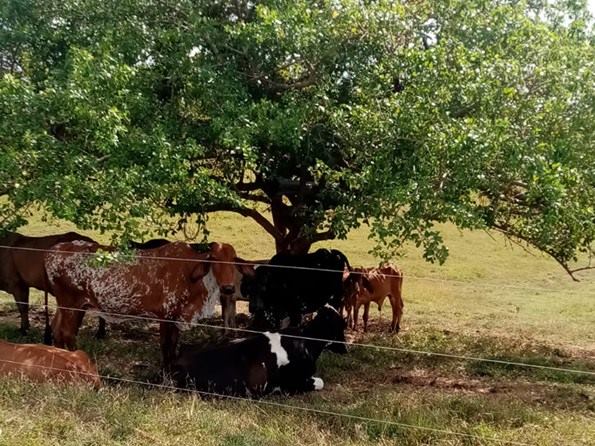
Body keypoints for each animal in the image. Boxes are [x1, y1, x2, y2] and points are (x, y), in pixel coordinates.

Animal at [45, 240, 248, 366]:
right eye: (214, 259)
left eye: (233, 260)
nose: (228, 288)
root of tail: (55, 250)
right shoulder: (166, 316)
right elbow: (166, 346)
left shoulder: (175, 318)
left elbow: (173, 346)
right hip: (71, 304)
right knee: (67, 333)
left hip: (67, 305)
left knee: (57, 330)